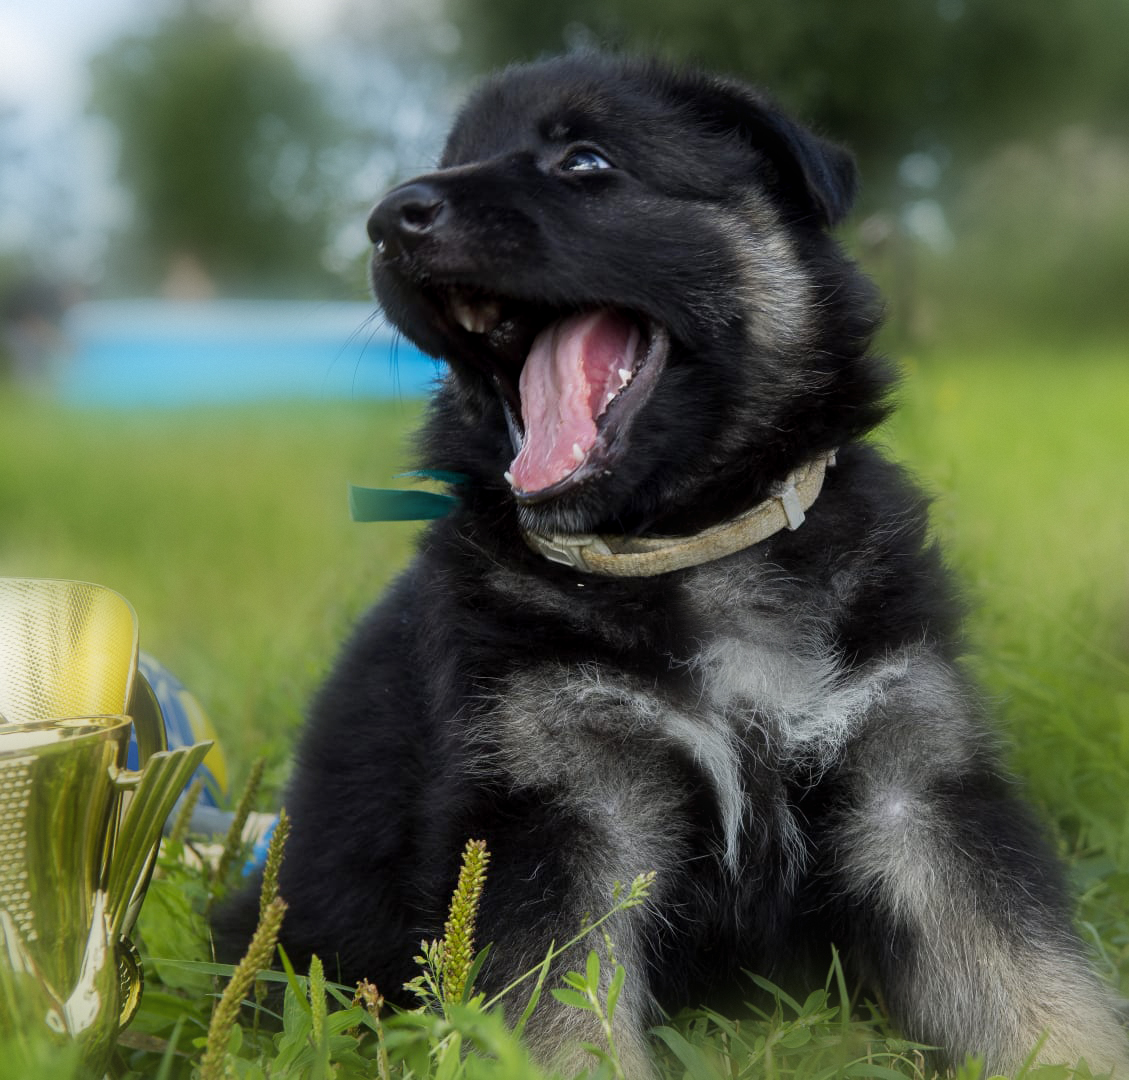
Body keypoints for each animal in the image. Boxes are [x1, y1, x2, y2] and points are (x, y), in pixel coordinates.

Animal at [215, 54, 1124, 1074]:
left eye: (584, 160)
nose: (385, 218)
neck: (683, 543)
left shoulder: (917, 789)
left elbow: (1036, 991)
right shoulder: (563, 822)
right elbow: (562, 1027)